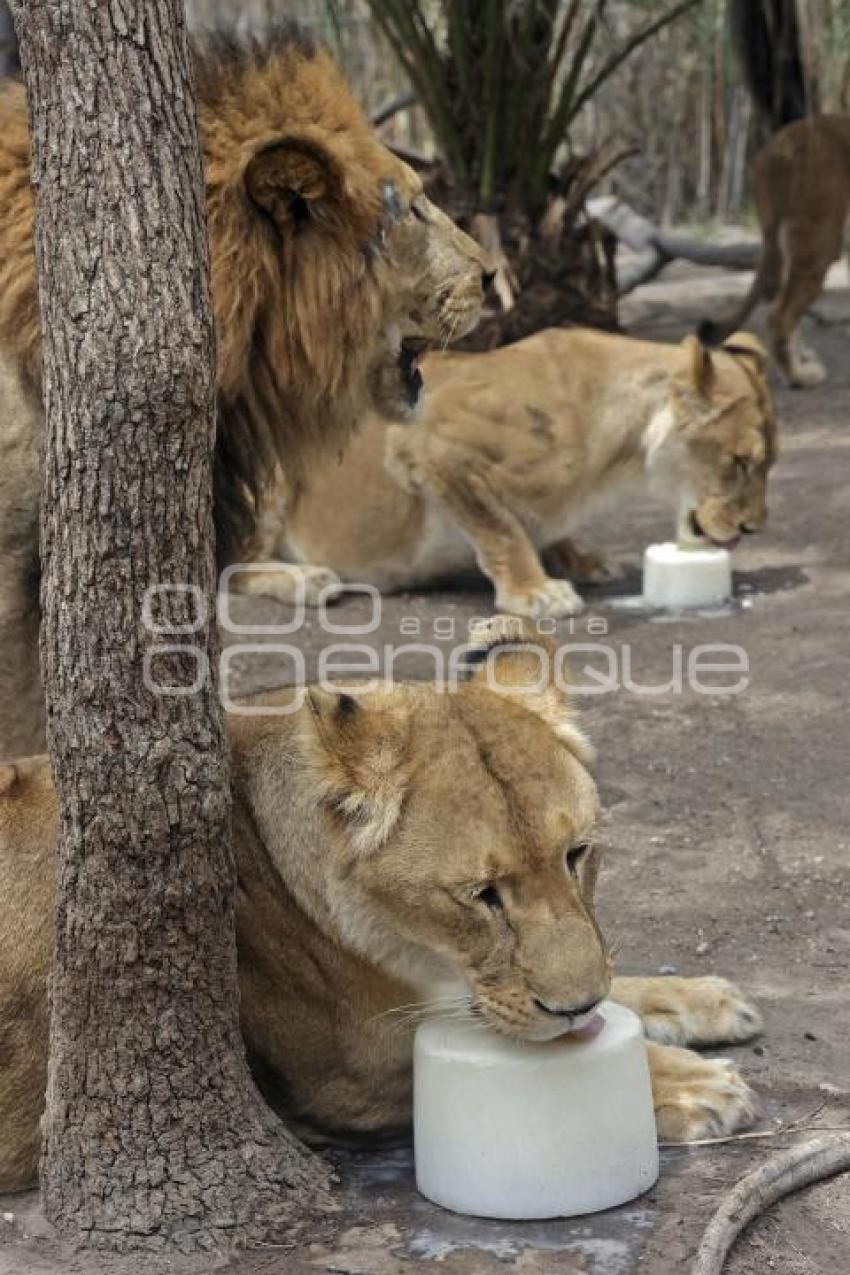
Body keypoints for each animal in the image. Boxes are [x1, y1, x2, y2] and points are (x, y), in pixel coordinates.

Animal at [0, 622, 759, 1188]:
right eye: (482, 896)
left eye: (577, 854)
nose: (574, 1008)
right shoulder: (346, 1080)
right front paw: (695, 1087)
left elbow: (610, 978)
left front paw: (699, 998)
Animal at [249, 326, 774, 619]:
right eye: (741, 461)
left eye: (768, 464)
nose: (754, 528)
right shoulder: (426, 444)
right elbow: (500, 528)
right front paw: (536, 591)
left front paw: (579, 559)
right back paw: (306, 580)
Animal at [703, 119, 850, 387]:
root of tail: (779, 149)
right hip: (820, 241)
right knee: (779, 315)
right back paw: (799, 377)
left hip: (781, 240)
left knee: (778, 297)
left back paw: (801, 359)